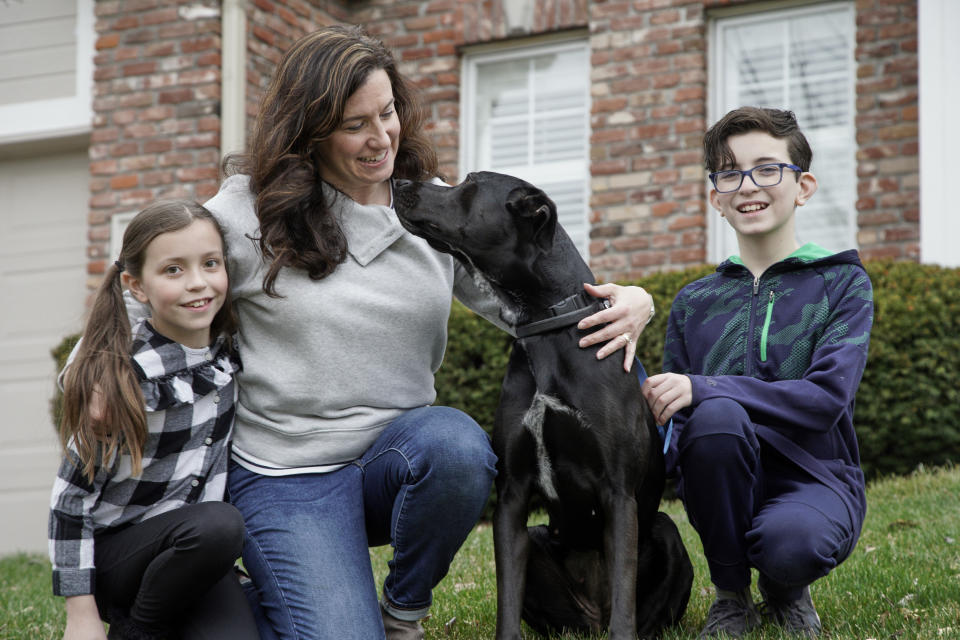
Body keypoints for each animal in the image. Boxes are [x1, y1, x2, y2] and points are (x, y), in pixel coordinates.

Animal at [394, 171, 692, 640]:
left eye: (469, 184)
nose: (399, 180)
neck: (547, 327)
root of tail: (592, 619)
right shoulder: (512, 496)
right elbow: (508, 599)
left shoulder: (618, 492)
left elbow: (624, 595)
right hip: (539, 540)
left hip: (665, 531)